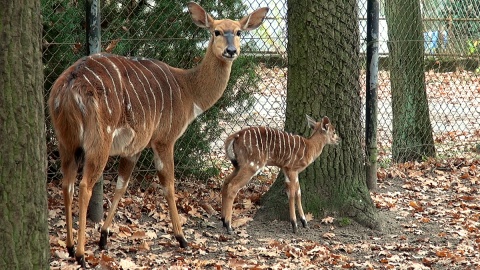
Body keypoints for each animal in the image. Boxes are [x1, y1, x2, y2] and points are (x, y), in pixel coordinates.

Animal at [48, 2, 270, 266]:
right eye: (216, 31)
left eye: (238, 32)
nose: (231, 51)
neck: (187, 90)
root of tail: (69, 85)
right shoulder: (164, 139)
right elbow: (169, 185)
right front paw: (182, 238)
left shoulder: (133, 147)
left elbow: (121, 185)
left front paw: (103, 237)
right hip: (98, 142)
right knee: (84, 186)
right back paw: (82, 255)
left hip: (67, 142)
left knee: (67, 183)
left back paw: (71, 247)